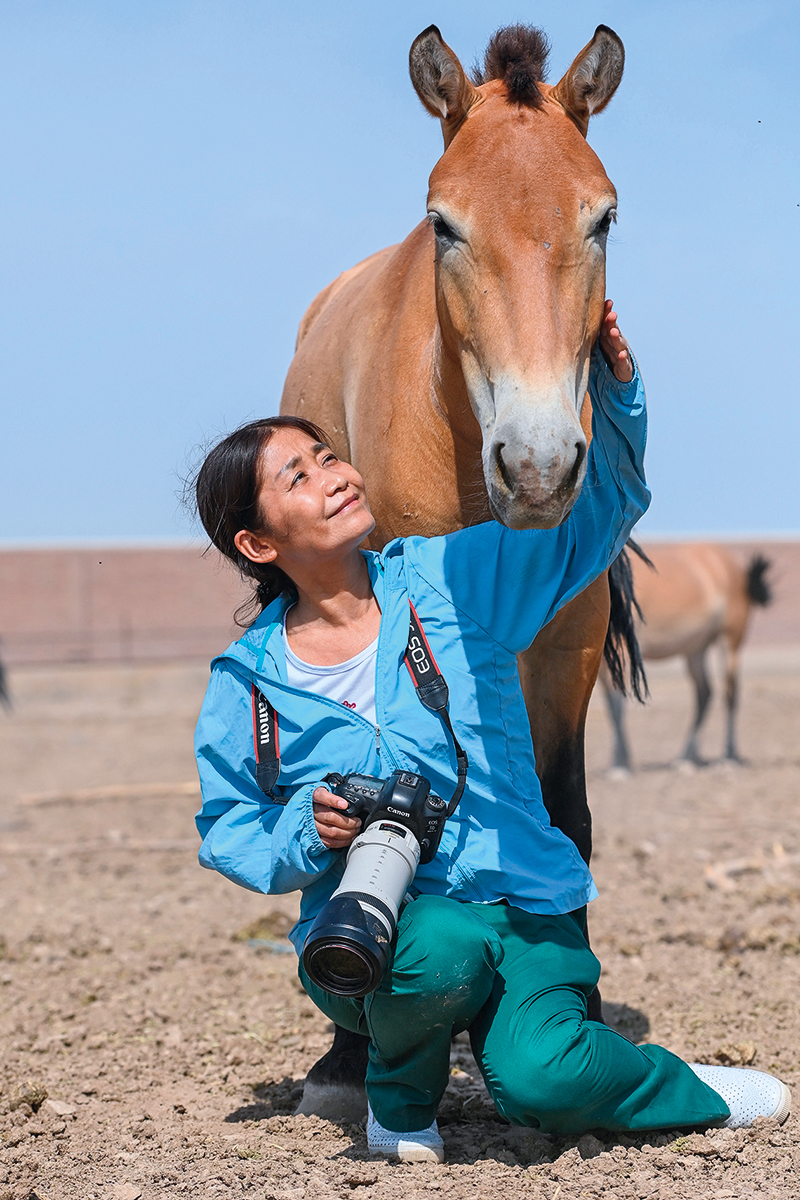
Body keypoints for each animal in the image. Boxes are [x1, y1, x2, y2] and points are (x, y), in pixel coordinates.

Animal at [280, 21, 631, 1120]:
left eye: (603, 217)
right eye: (443, 224)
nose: (538, 464)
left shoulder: (565, 644)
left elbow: (564, 814)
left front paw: (577, 1009)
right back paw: (344, 1056)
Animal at [600, 542, 772, 769]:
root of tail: (736, 566)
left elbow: (617, 705)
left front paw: (620, 763)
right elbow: (609, 707)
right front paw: (619, 759)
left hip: (730, 642)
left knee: (730, 694)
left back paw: (729, 755)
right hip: (696, 649)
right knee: (705, 693)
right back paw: (687, 756)